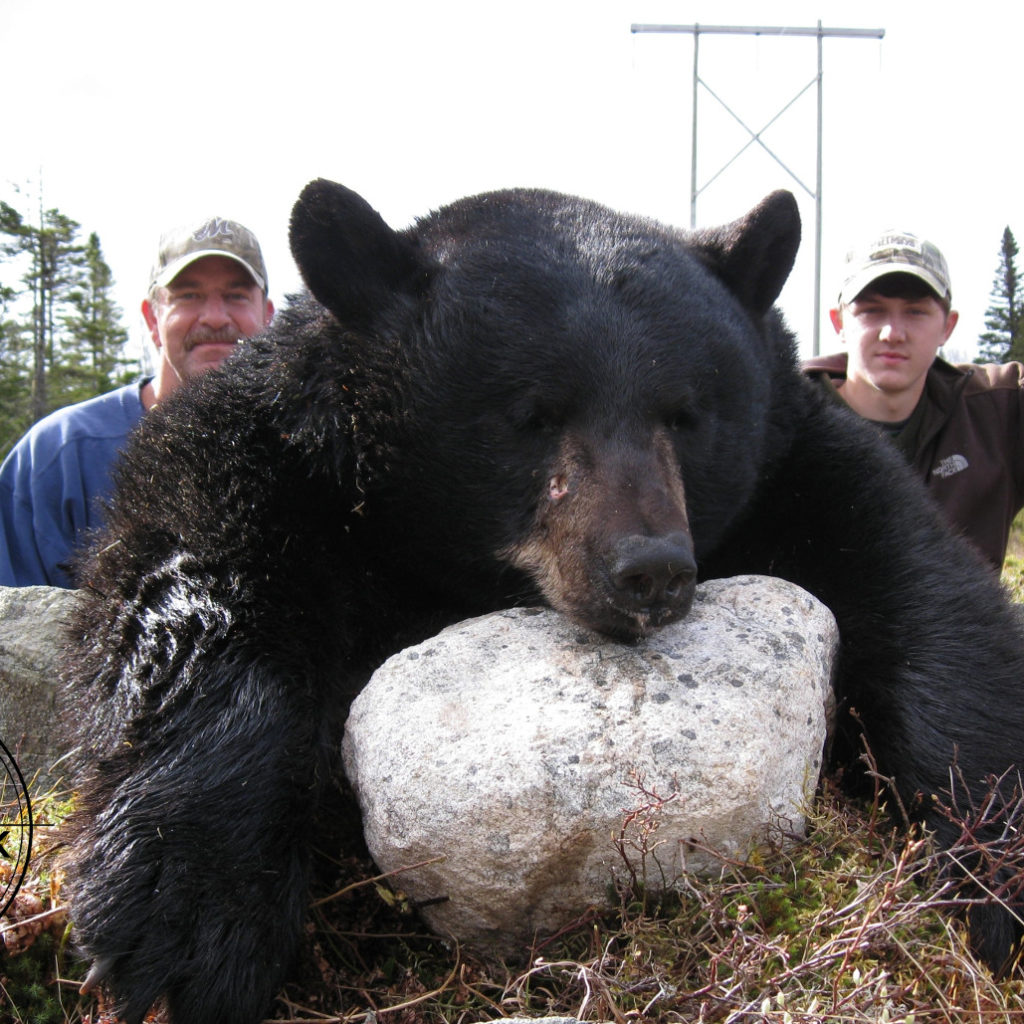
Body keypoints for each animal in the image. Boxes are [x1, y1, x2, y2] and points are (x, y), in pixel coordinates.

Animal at [61, 180, 1024, 1024]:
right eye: (532, 412)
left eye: (686, 413)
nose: (649, 569)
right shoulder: (275, 453)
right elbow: (197, 584)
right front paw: (186, 914)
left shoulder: (802, 466)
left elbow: (932, 607)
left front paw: (992, 877)